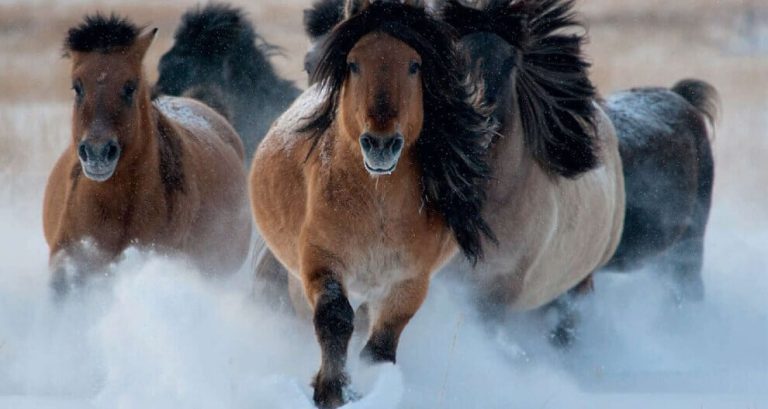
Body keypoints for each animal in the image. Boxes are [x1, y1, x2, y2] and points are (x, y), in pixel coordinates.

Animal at [249, 2, 494, 407]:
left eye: (414, 65)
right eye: (353, 63)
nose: (380, 144)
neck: (377, 209)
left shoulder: (409, 281)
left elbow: (380, 346)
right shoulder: (320, 263)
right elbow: (335, 320)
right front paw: (331, 389)